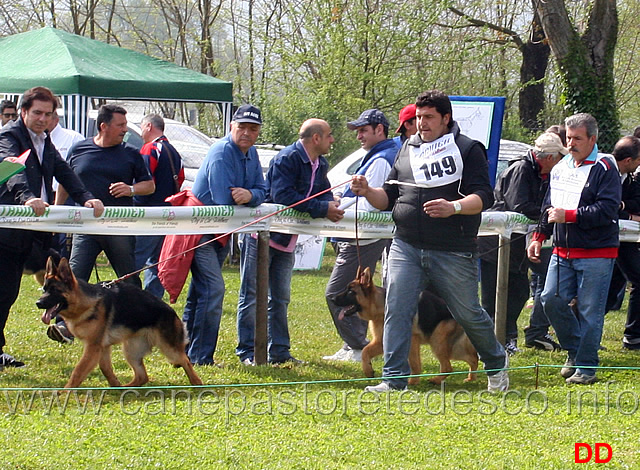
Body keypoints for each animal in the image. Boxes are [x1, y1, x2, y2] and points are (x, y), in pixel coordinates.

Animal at [36, 258, 201, 390]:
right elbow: (105, 368)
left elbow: (78, 371)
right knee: (142, 376)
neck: (86, 303)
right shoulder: (101, 348)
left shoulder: (93, 347)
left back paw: (197, 384)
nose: (38, 303)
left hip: (168, 348)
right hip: (130, 350)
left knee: (186, 361)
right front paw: (114, 385)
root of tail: (172, 312)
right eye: (44, 289)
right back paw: (125, 388)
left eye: (55, 290)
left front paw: (63, 392)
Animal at [336, 268, 476, 386]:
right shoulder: (382, 341)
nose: (332, 298)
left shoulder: (412, 341)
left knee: (449, 366)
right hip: (452, 347)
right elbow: (365, 351)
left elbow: (414, 363)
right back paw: (470, 378)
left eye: (351, 292)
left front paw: (413, 382)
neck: (380, 305)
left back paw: (436, 380)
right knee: (472, 359)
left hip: (437, 342)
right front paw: (368, 370)